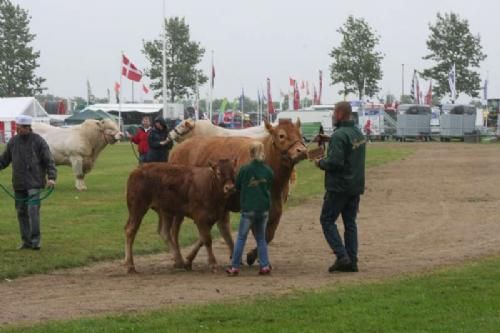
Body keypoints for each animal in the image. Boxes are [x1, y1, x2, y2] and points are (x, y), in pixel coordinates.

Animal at [170, 118, 306, 264]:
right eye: (281, 135)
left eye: (300, 134)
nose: (302, 150)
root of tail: (177, 150)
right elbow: (259, 234)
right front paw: (252, 256)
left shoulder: (277, 207)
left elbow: (269, 235)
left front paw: (253, 256)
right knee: (174, 229)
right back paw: (178, 258)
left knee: (219, 228)